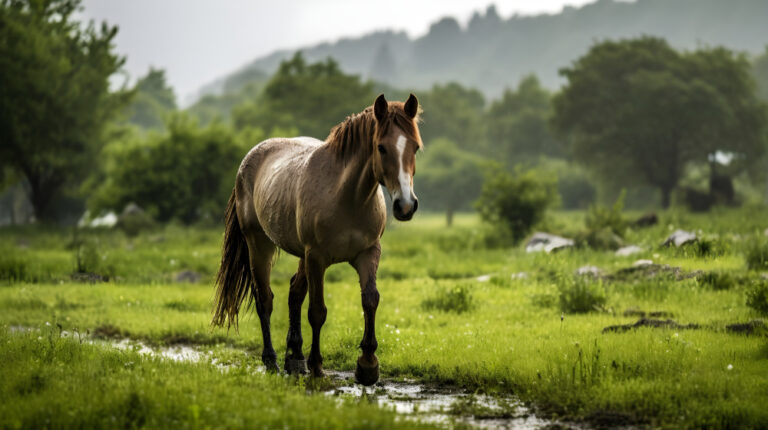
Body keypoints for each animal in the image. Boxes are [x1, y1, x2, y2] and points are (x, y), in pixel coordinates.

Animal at [213, 94, 424, 386]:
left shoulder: (368, 253)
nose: (405, 205)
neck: (347, 197)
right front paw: (317, 366)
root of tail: (250, 158)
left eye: (415, 147)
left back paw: (295, 358)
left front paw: (368, 366)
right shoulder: (317, 257)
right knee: (264, 299)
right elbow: (317, 311)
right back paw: (271, 360)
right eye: (381, 148)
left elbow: (370, 299)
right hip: (259, 244)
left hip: (301, 254)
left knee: (293, 293)